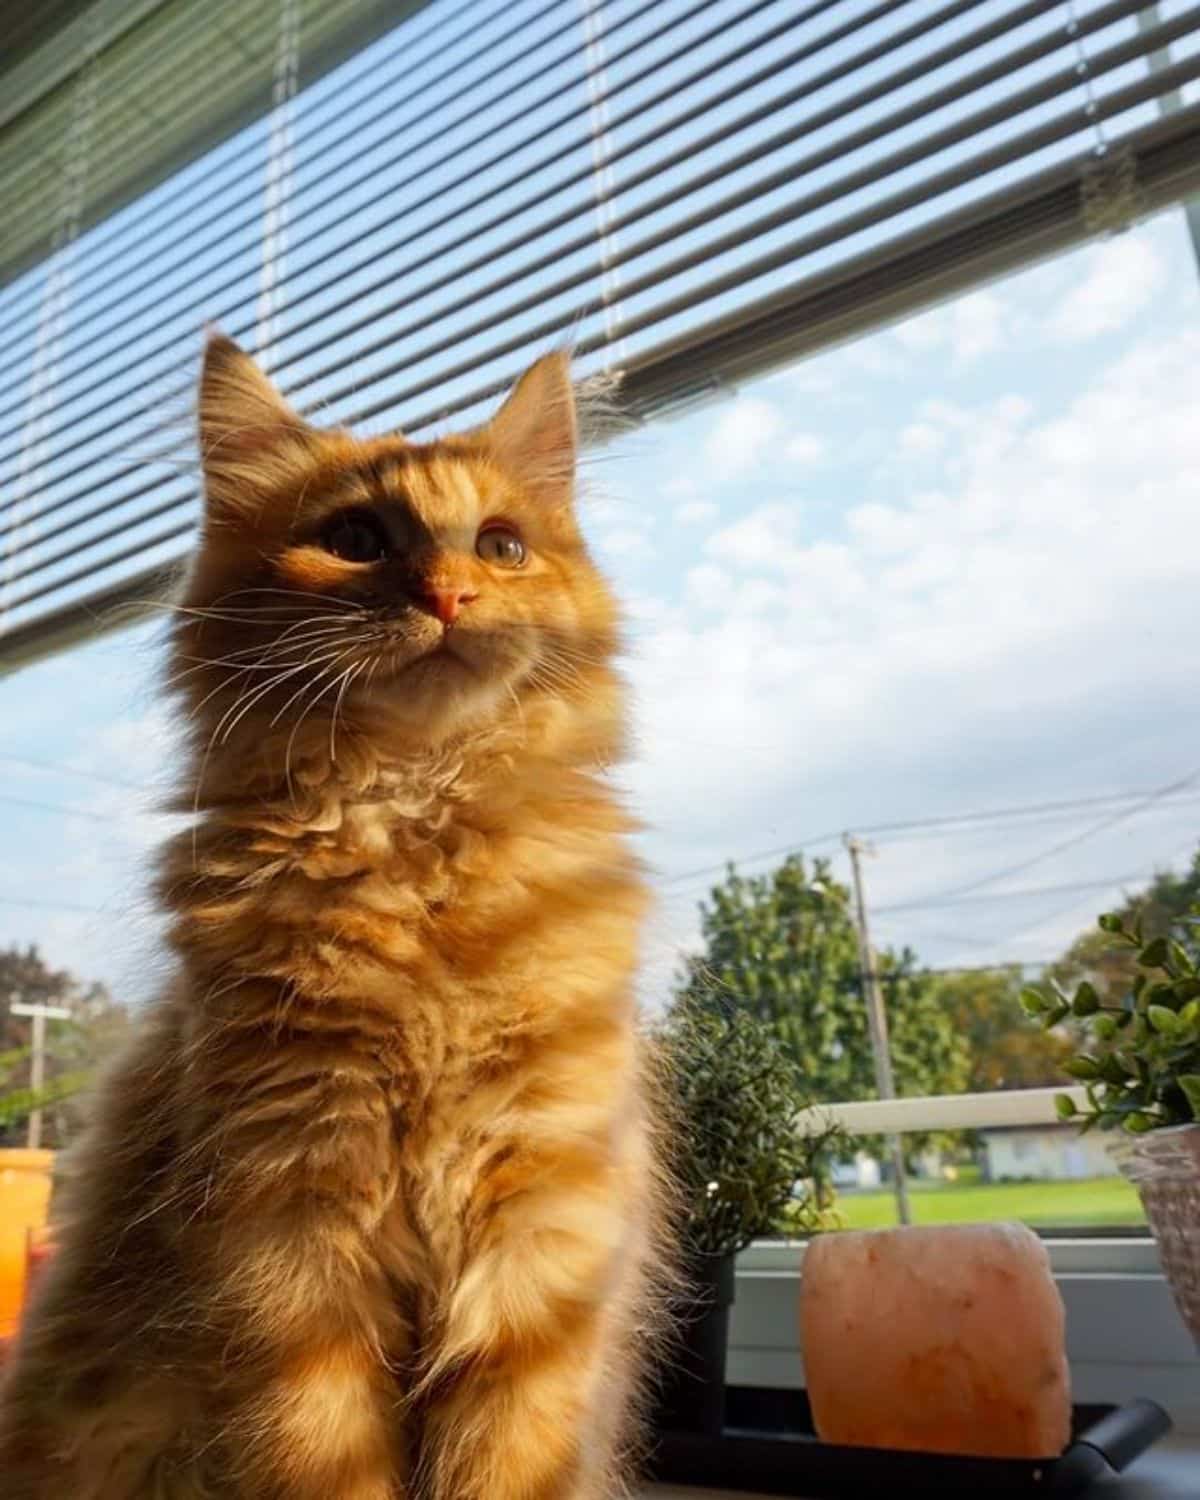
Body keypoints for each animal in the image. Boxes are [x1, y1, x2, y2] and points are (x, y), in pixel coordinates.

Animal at [0, 337, 669, 1500]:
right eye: (356, 541)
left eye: (501, 547)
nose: (449, 592)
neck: (415, 830)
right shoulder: (291, 1230)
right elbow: (325, 1455)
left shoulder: (541, 1227)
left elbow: (510, 1460)